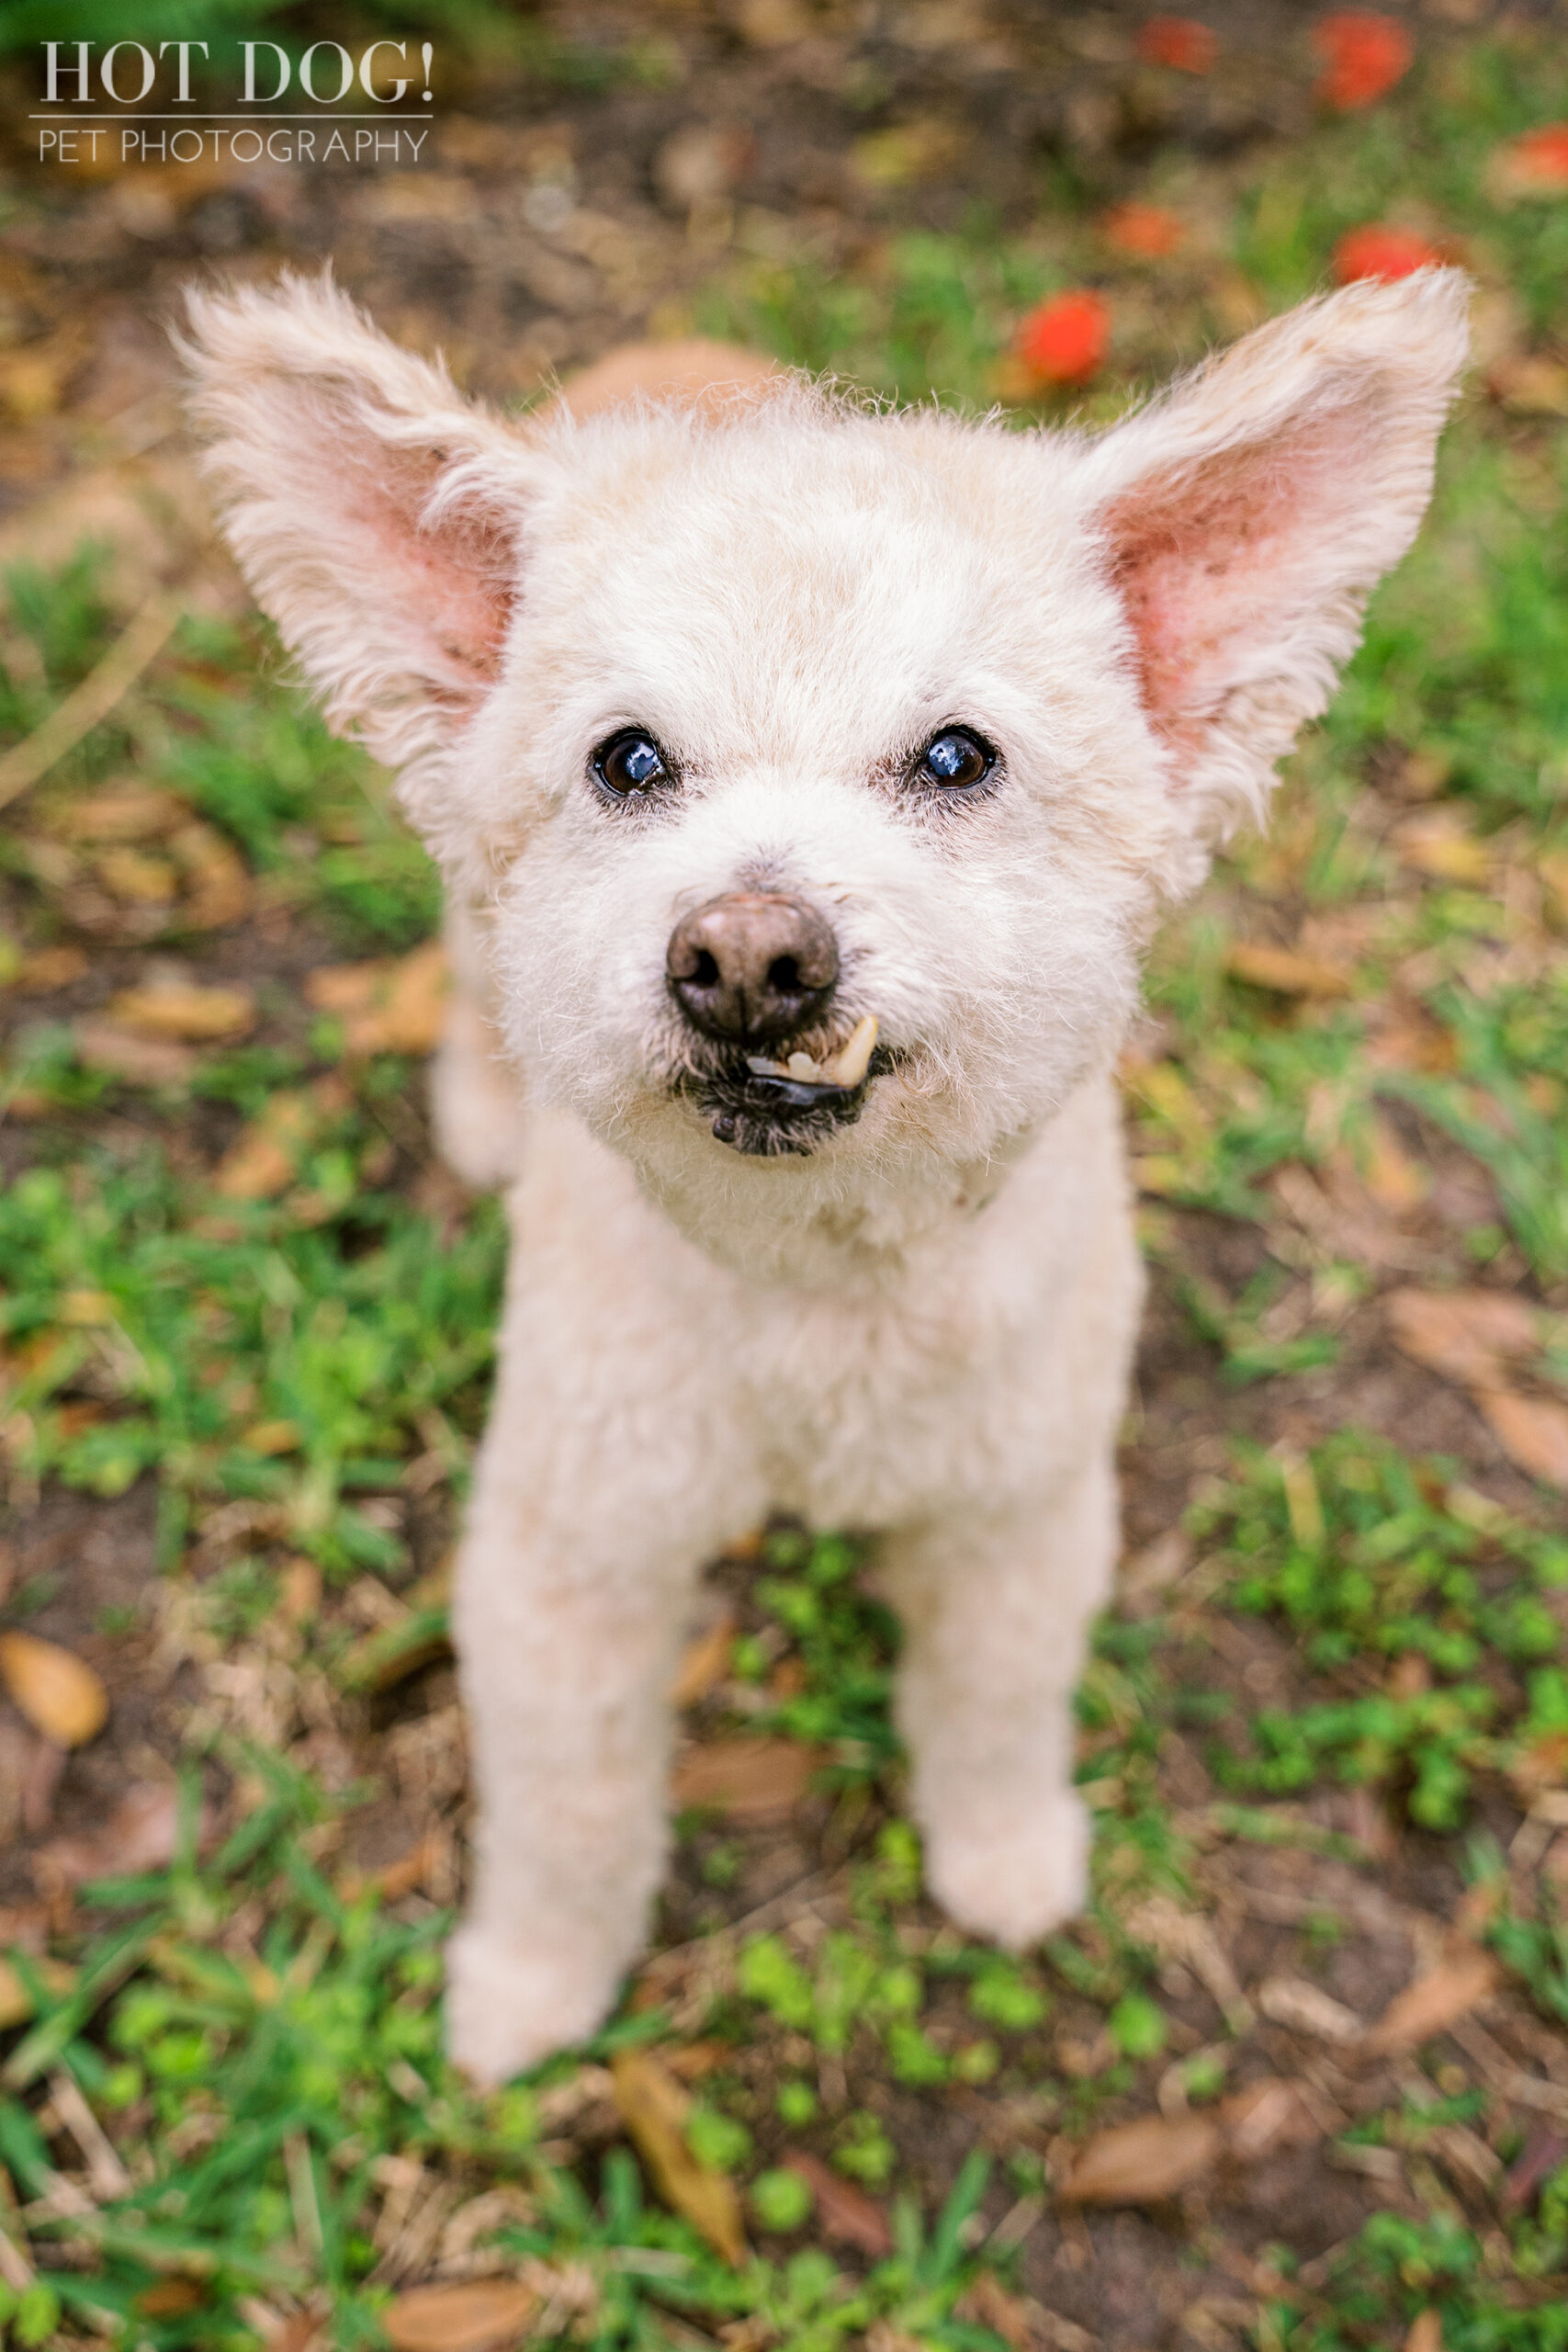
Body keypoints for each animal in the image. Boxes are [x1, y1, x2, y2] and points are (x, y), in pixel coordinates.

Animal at [184, 266, 1476, 2088]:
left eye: (955, 757)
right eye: (629, 761)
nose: (745, 957)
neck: (819, 1281)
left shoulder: (1021, 1506)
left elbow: (995, 1707)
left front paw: (1003, 1860)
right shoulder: (567, 1550)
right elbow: (568, 1810)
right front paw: (530, 1988)